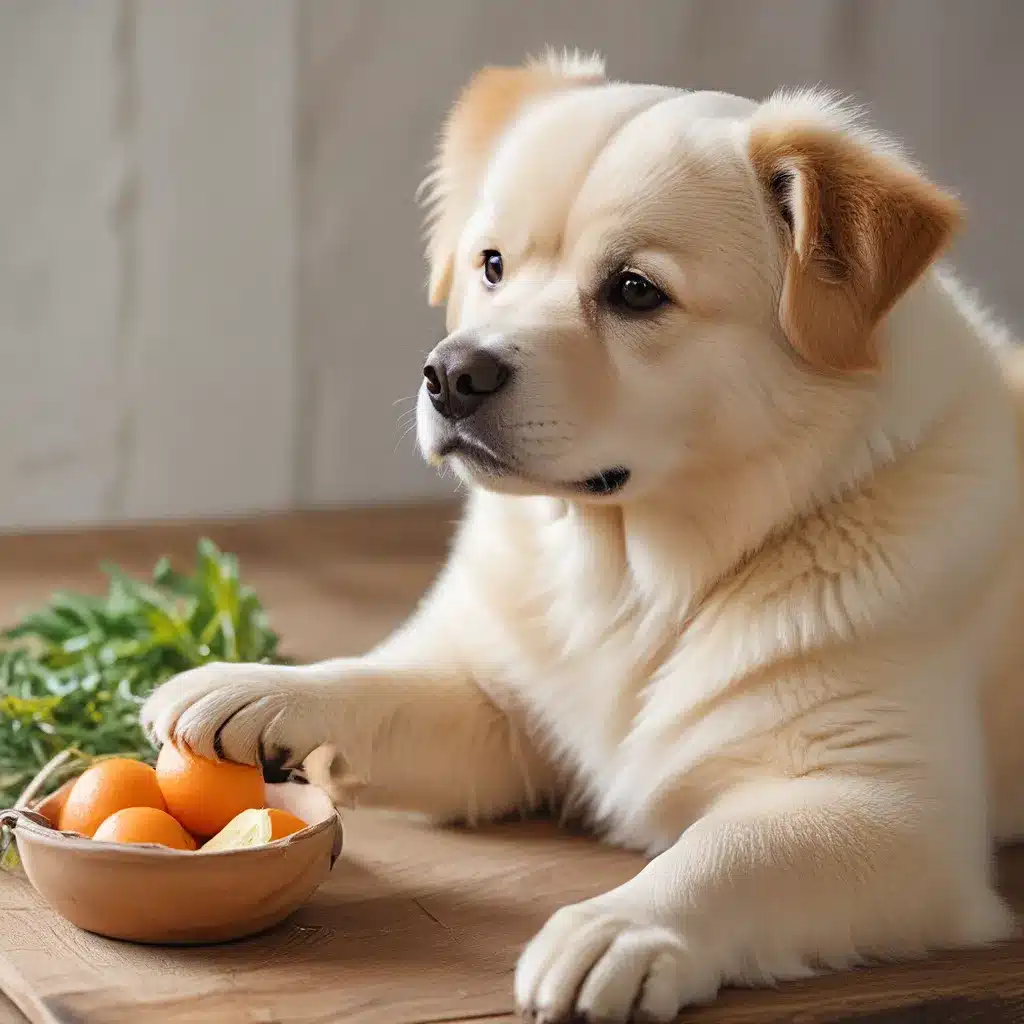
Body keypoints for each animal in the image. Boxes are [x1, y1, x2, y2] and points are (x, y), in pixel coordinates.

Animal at [144, 51, 1024, 1019]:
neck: (634, 578)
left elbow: (728, 853)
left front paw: (621, 928)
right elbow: (381, 682)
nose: (451, 373)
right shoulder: (502, 720)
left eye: (635, 291)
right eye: (491, 264)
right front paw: (259, 687)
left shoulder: (896, 813)